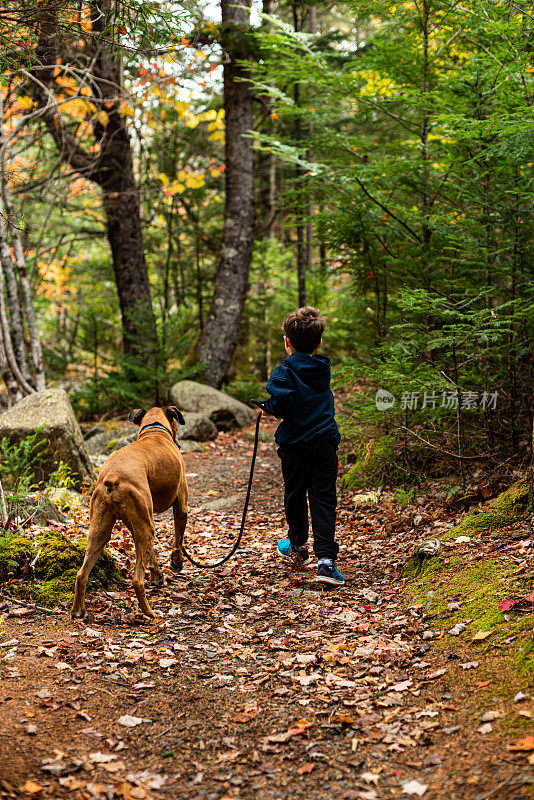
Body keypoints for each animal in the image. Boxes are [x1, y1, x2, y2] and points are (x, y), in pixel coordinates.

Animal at [71, 406, 188, 620]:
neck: (154, 431)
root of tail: (112, 477)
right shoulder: (181, 506)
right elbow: (178, 540)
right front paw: (176, 562)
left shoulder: (137, 526)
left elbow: (151, 553)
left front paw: (157, 575)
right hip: (146, 527)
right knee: (137, 580)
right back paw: (149, 613)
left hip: (101, 531)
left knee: (81, 574)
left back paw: (78, 610)